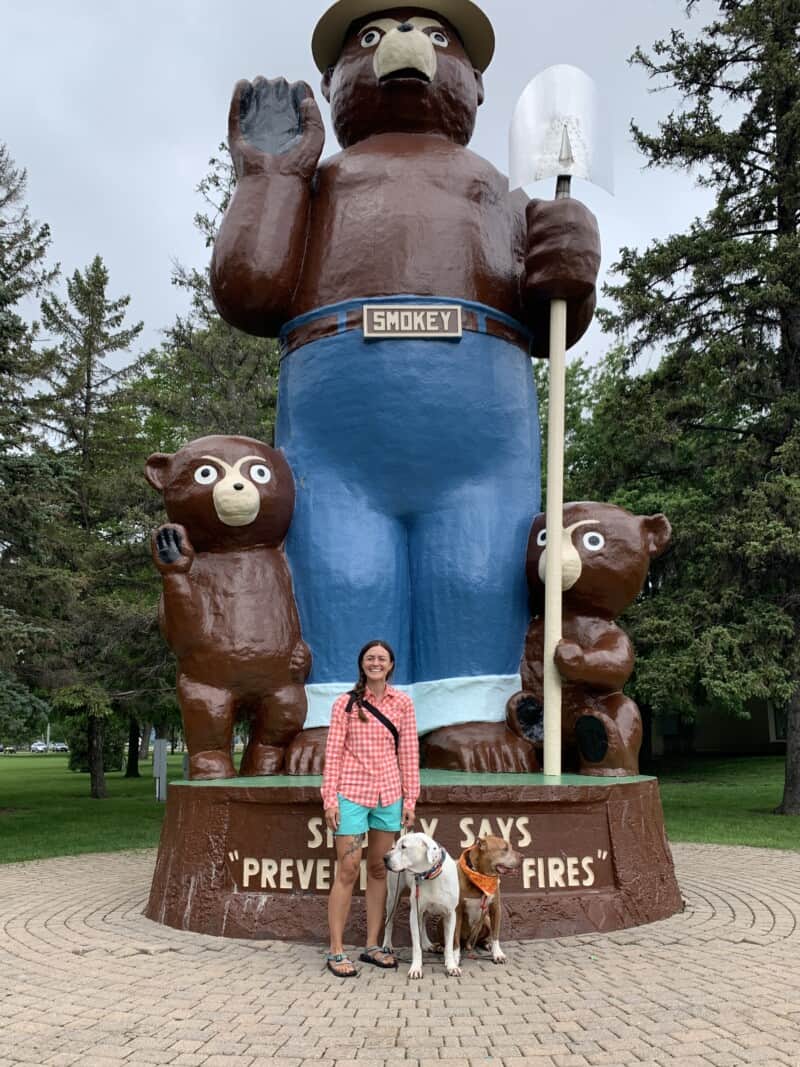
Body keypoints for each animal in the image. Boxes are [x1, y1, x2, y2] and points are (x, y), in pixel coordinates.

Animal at [384, 827, 460, 977]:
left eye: (403, 847)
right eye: (396, 846)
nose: (385, 858)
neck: (430, 874)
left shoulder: (450, 914)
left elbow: (449, 945)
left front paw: (451, 966)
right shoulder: (414, 913)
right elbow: (416, 946)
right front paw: (415, 968)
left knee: (423, 922)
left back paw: (427, 944)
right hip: (393, 898)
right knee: (388, 922)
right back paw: (387, 945)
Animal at [454, 832, 522, 968]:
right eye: (505, 849)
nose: (523, 856)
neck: (481, 876)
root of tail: (468, 944)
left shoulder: (495, 907)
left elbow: (495, 935)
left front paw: (497, 954)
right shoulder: (457, 910)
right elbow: (455, 937)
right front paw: (454, 957)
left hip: (486, 920)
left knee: (482, 938)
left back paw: (486, 944)